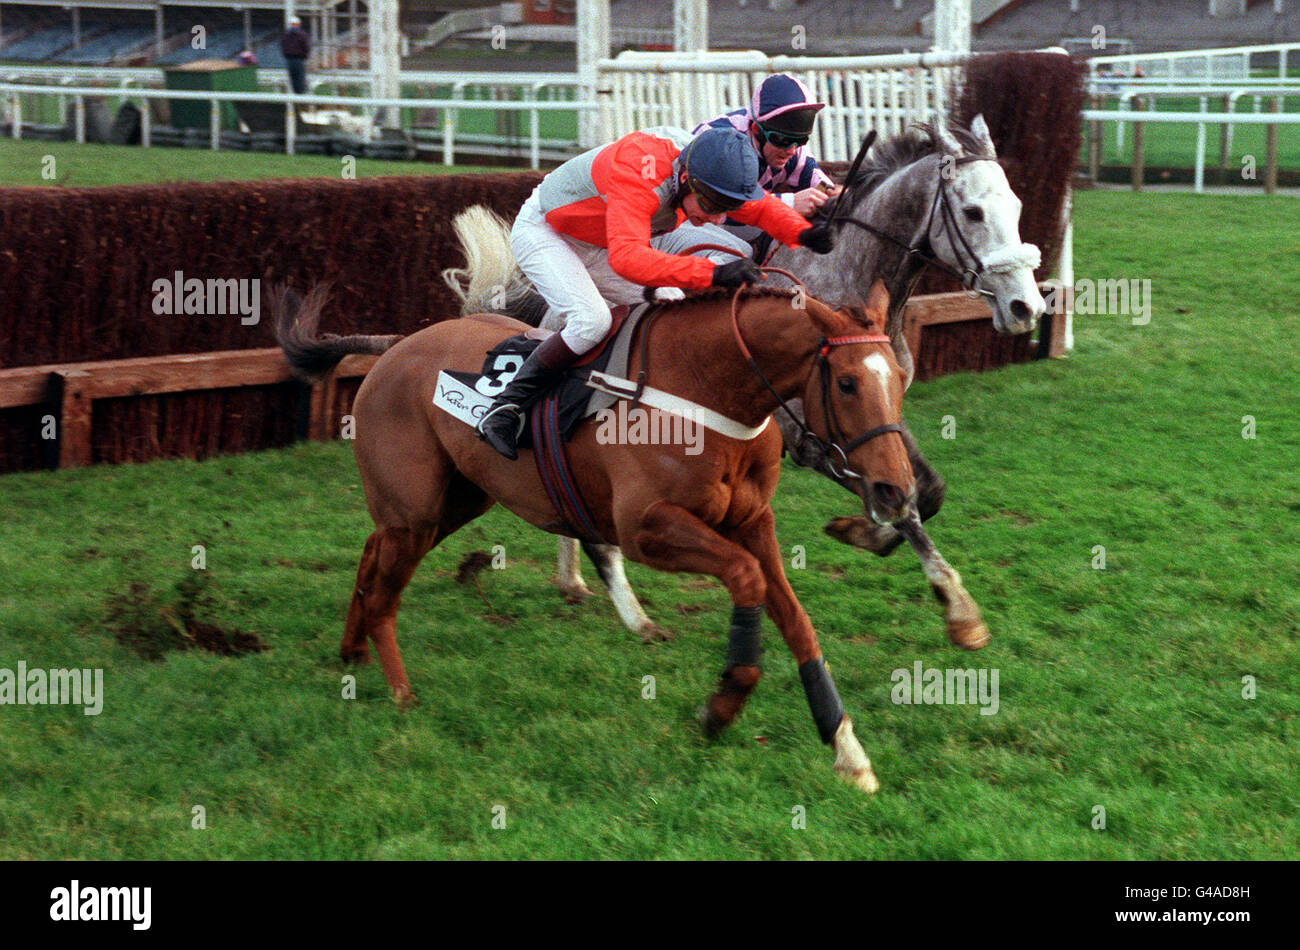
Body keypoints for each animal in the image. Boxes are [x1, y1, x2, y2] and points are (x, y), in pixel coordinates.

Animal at [270, 278, 909, 790]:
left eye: (901, 377)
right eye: (847, 383)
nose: (896, 491)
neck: (707, 388)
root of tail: (395, 346)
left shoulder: (753, 523)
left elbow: (798, 622)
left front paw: (849, 753)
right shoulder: (646, 528)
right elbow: (745, 579)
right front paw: (723, 705)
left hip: (454, 500)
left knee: (372, 552)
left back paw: (352, 651)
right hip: (416, 509)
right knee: (385, 592)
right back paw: (401, 692)